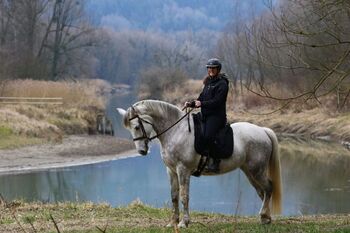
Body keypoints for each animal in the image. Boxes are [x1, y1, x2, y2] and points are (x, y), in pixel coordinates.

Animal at [117, 99, 282, 228]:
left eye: (137, 127)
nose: (141, 151)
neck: (176, 131)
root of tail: (263, 130)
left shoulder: (182, 170)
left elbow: (184, 196)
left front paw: (184, 223)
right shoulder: (171, 170)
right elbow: (174, 196)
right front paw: (173, 222)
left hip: (257, 170)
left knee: (268, 188)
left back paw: (264, 215)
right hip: (249, 171)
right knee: (262, 192)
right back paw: (266, 218)